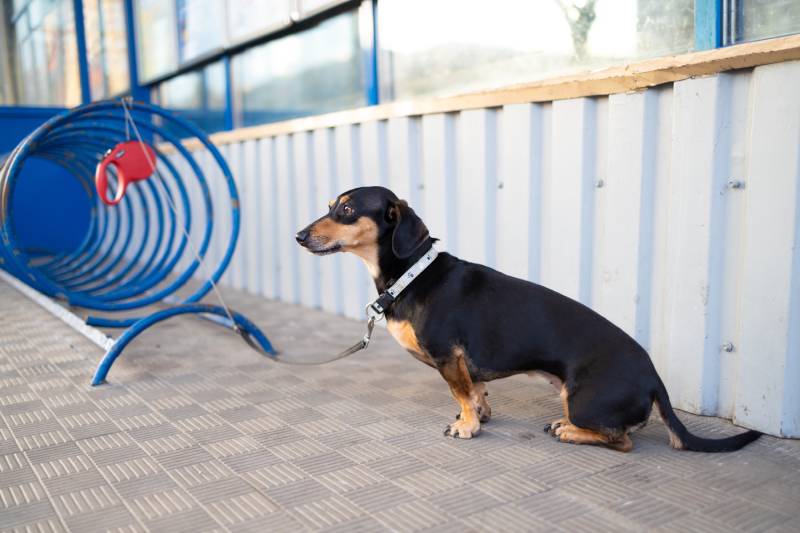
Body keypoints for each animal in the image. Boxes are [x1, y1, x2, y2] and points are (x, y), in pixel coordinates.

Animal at [296, 187, 760, 454]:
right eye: (329, 206)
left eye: (347, 209)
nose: (298, 236)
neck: (413, 275)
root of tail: (655, 378)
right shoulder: (463, 363)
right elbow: (475, 391)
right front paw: (479, 415)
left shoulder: (448, 356)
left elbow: (460, 394)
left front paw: (467, 427)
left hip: (582, 399)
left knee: (623, 441)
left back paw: (568, 431)